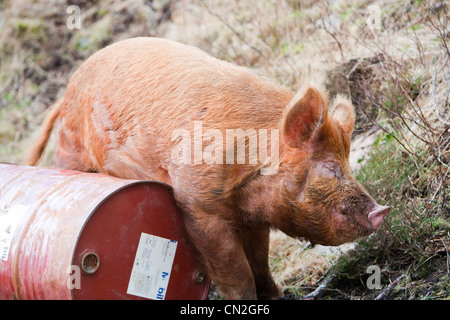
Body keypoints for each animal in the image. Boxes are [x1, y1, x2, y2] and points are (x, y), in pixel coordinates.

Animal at [27, 37, 390, 300]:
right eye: (328, 167)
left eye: (347, 163)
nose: (382, 210)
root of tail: (66, 91)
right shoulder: (199, 209)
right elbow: (238, 275)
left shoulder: (254, 217)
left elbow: (261, 265)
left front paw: (277, 296)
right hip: (71, 152)